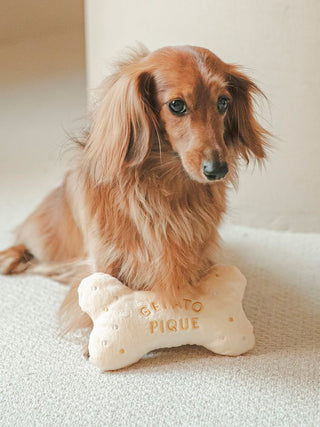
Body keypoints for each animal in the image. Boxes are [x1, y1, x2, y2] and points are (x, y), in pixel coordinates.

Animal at [0, 46, 268, 334]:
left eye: (223, 102)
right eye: (177, 105)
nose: (217, 170)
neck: (165, 189)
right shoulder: (104, 259)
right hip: (46, 242)